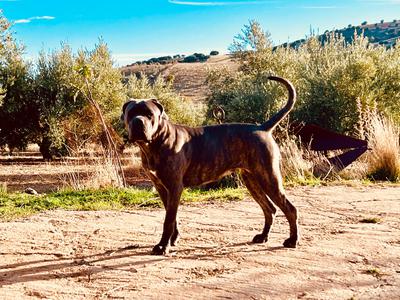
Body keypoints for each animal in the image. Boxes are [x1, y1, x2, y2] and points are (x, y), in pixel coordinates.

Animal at [120, 76, 298, 254]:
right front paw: (173, 240)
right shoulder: (162, 187)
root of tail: (262, 128)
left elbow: (168, 220)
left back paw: (292, 240)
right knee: (269, 209)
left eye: (149, 114)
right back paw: (263, 236)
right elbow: (172, 216)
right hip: (252, 180)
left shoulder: (174, 187)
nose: (138, 122)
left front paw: (163, 245)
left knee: (290, 208)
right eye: (131, 113)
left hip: (269, 178)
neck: (155, 143)